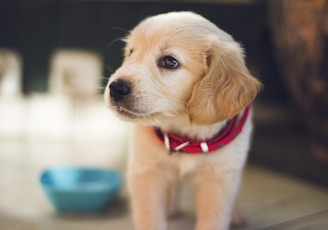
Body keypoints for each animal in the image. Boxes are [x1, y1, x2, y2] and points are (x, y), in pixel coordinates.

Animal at [104, 11, 262, 230]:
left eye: (170, 62)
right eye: (130, 52)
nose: (116, 88)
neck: (185, 133)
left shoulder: (219, 179)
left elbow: (213, 220)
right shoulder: (145, 172)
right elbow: (150, 218)